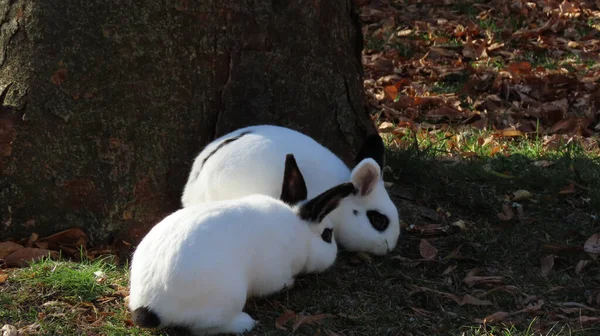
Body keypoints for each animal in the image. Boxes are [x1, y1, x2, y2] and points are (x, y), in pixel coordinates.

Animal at [130, 154, 356, 336]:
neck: (299, 233)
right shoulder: (274, 273)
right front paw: (291, 283)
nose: (335, 255)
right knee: (203, 328)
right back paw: (245, 323)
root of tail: (150, 306)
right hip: (229, 297)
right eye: (327, 235)